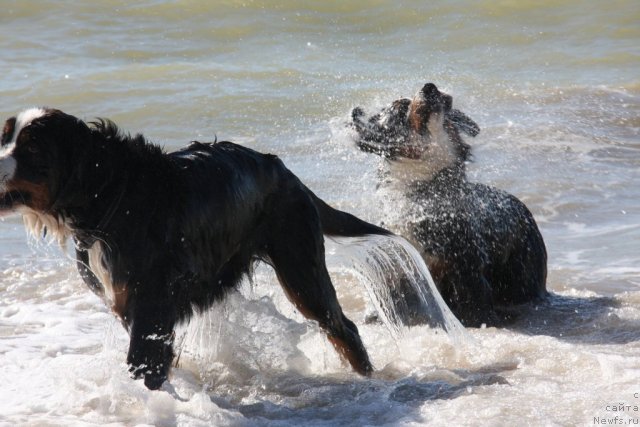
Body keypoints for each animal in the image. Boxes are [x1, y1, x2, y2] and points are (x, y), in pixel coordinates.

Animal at [0, 108, 392, 392]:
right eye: (5, 138)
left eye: (31, 147)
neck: (109, 198)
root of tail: (287, 173)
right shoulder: (129, 304)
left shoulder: (150, 306)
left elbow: (145, 365)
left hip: (301, 270)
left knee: (343, 329)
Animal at [348, 82, 548, 326]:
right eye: (402, 107)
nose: (429, 86)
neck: (421, 191)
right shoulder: (396, 263)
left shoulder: (466, 265)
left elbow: (475, 301)